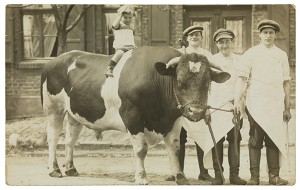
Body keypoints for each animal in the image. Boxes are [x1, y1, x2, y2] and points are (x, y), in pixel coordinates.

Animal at [41, 46, 230, 184]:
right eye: (180, 81)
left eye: (207, 82)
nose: (196, 111)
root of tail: (55, 60)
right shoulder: (132, 117)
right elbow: (141, 149)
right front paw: (141, 177)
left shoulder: (174, 119)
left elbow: (174, 148)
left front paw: (180, 176)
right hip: (53, 109)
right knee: (53, 138)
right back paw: (54, 169)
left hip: (74, 114)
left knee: (70, 140)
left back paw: (70, 168)